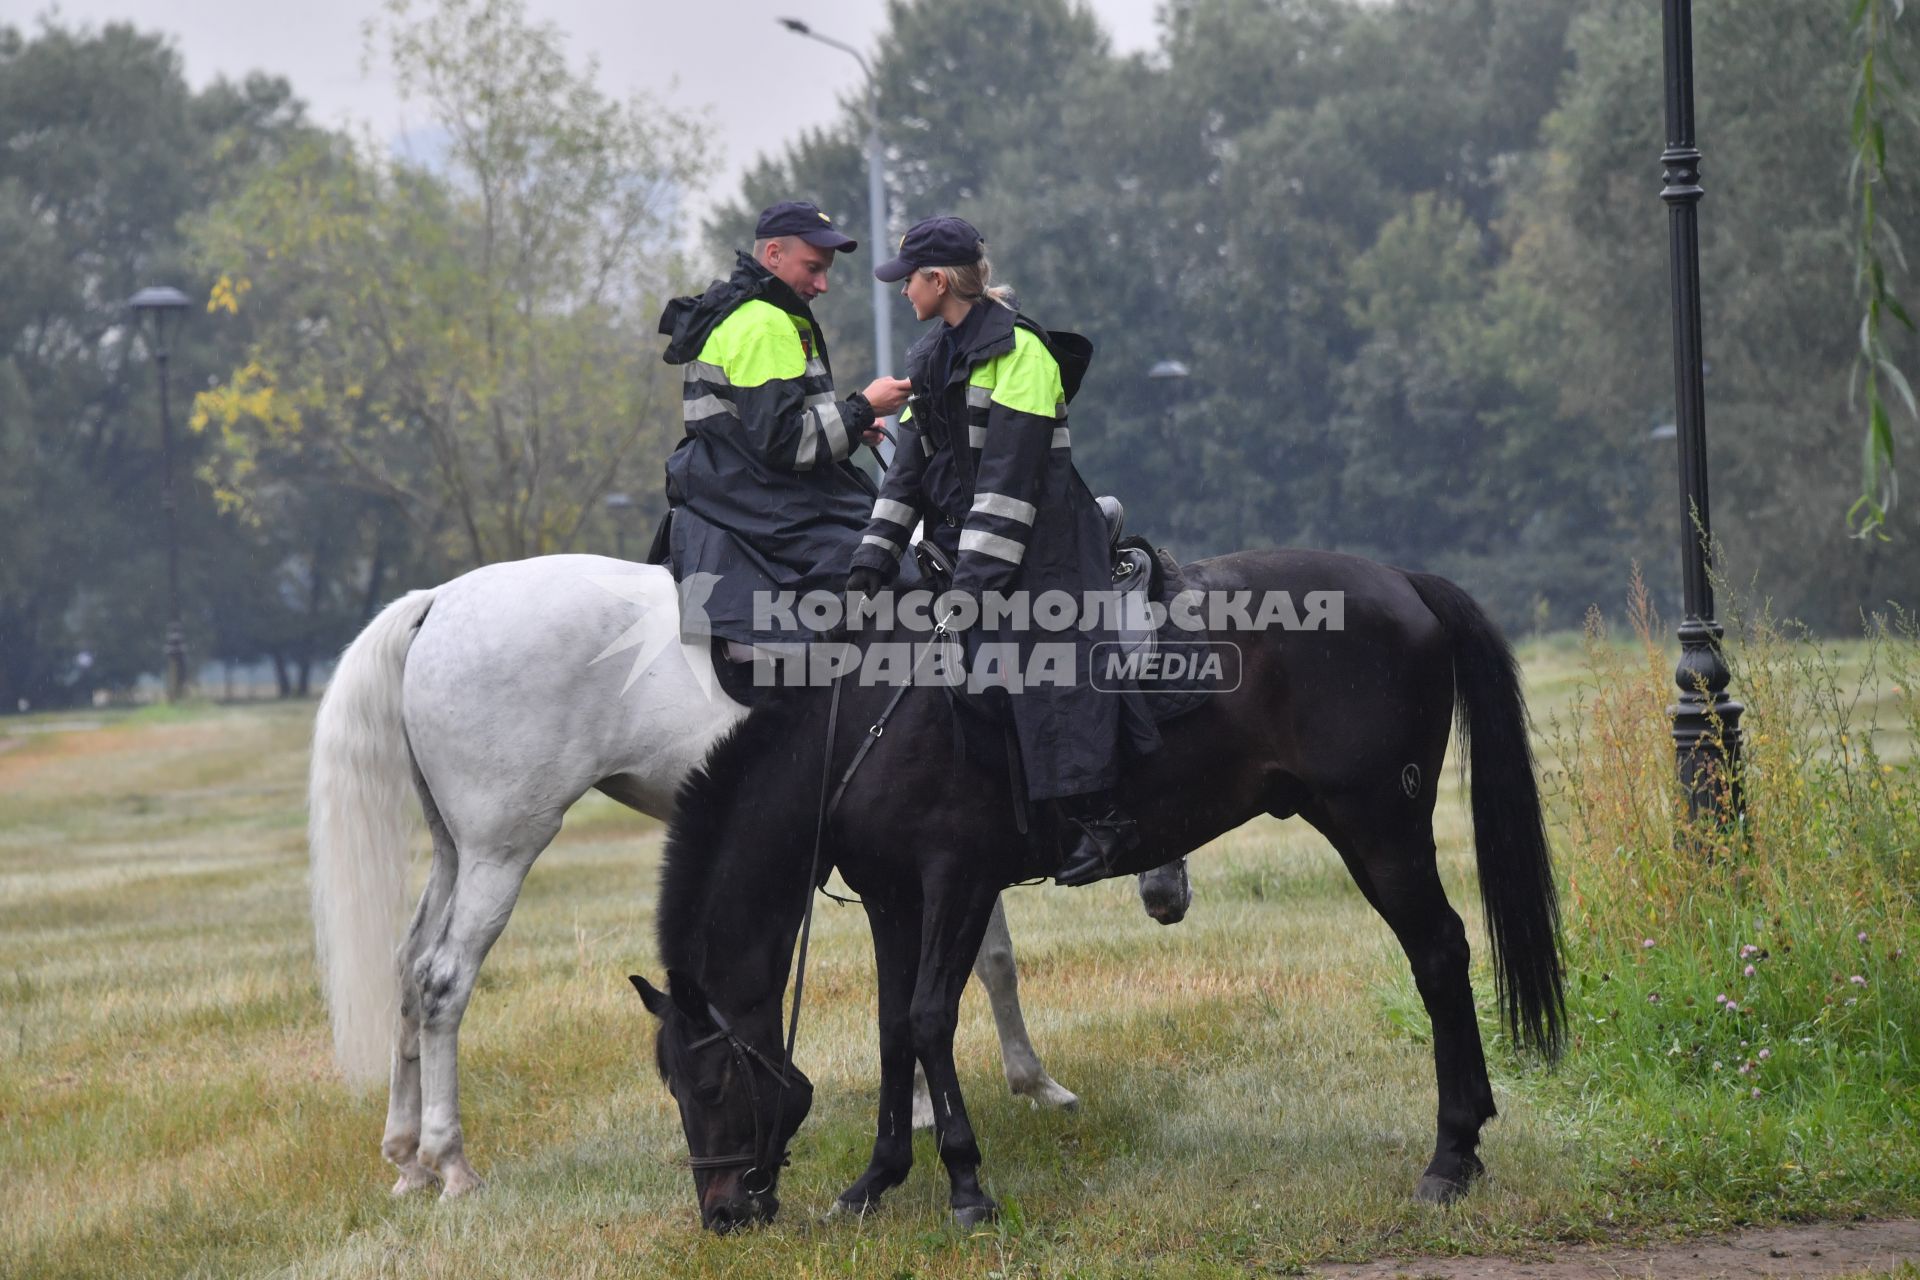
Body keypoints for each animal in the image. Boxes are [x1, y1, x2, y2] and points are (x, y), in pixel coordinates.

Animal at [305, 556, 1182, 1197]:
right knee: (444, 981)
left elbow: (975, 969)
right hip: (503, 849)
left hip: (457, 851)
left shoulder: (940, 861)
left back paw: (407, 1157)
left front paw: (971, 1094)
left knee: (409, 971)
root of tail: (440, 601)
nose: (1167, 896)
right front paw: (1013, 1088)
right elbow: (974, 970)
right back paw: (450, 1161)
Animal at [629, 548, 1559, 1228]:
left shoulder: (959, 881)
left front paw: (967, 1185)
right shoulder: (895, 899)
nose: (722, 1212)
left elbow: (930, 1019)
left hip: (1378, 825)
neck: (864, 725)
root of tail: (1402, 581)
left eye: (711, 1088)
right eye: (671, 1090)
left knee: (1439, 954)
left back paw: (1451, 1156)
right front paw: (875, 1182)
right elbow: (895, 1030)